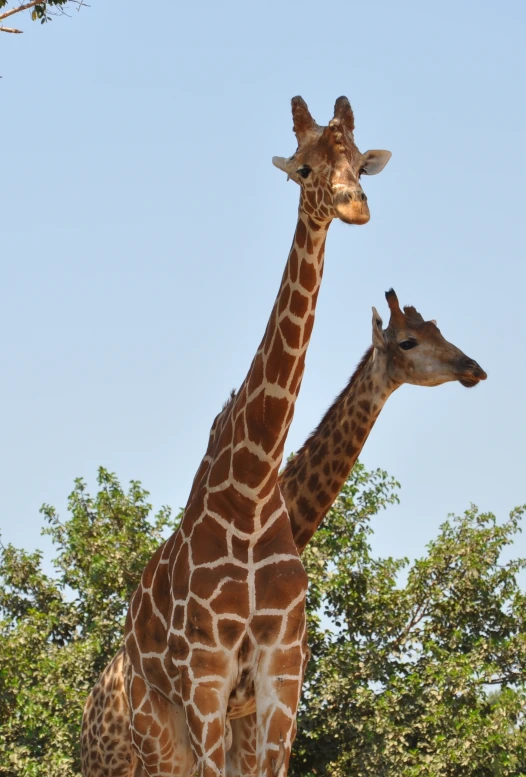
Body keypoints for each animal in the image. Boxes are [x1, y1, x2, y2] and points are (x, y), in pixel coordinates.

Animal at [80, 284, 488, 776]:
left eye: (438, 330)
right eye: (409, 342)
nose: (472, 367)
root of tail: (87, 713)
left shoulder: (263, 699)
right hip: (125, 754)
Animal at [81, 95, 392, 776]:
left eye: (361, 162)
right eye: (303, 168)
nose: (354, 205)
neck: (249, 489)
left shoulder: (282, 673)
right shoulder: (207, 675)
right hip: (154, 729)